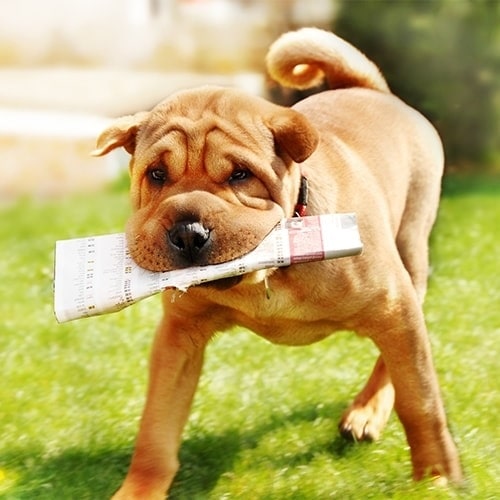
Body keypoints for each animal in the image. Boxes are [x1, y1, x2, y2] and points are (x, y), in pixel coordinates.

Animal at [93, 28, 460, 500]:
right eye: (156, 175)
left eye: (240, 175)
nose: (188, 232)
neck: (269, 274)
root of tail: (372, 89)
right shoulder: (179, 335)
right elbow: (157, 425)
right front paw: (139, 489)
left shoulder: (394, 308)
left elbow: (421, 401)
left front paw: (437, 476)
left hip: (411, 254)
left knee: (394, 361)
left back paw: (366, 412)